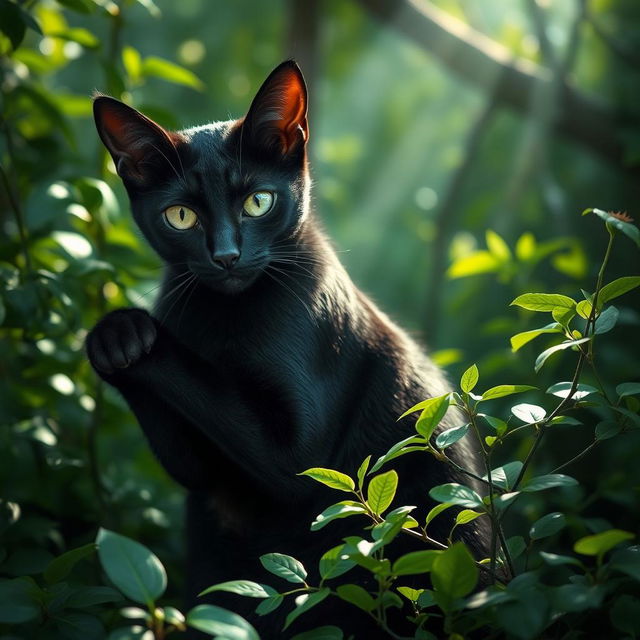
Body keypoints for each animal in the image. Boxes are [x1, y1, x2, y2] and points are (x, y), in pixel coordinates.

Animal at [89, 61, 490, 640]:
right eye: (180, 216)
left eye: (258, 201)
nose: (226, 256)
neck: (225, 320)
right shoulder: (204, 474)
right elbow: (193, 461)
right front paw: (118, 344)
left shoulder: (299, 451)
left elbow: (236, 411)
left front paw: (128, 331)